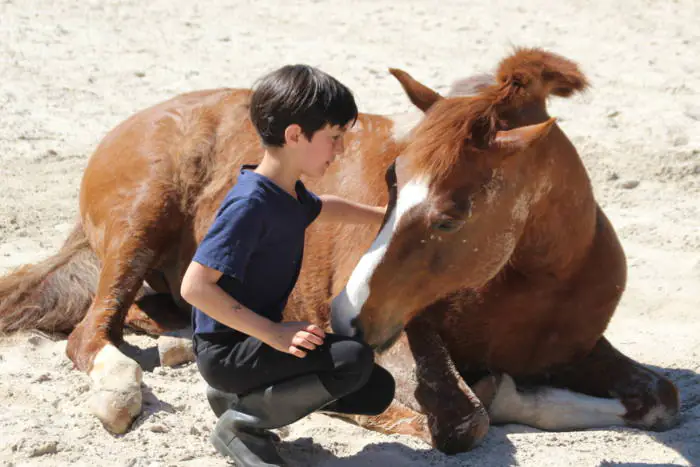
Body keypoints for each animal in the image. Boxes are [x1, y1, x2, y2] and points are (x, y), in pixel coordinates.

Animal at [0, 49, 680, 456]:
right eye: (390, 183)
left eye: (451, 216)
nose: (345, 316)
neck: (537, 285)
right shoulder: (408, 340)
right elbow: (465, 413)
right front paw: (503, 392)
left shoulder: (581, 349)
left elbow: (662, 400)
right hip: (139, 224)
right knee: (92, 334)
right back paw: (122, 390)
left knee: (146, 314)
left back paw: (177, 345)